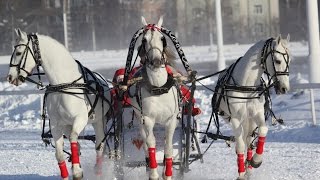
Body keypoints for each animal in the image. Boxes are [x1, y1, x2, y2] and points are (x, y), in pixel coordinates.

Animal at [6, 28, 111, 179]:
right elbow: (60, 154)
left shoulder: (80, 119)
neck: (63, 85)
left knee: (99, 146)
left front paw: (77, 172)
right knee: (79, 145)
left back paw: (97, 171)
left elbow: (73, 138)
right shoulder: (56, 125)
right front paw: (71, 171)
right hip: (68, 125)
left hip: (99, 121)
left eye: (19, 53)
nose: (10, 77)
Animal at [127, 16, 181, 180]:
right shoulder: (148, 119)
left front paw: (167, 174)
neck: (158, 88)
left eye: (162, 38)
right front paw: (154, 174)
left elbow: (168, 147)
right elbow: (151, 144)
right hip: (139, 118)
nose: (156, 61)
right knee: (145, 143)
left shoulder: (171, 120)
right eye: (144, 40)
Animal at [214, 34, 292, 179]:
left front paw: (256, 160)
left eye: (289, 62)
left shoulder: (257, 114)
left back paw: (249, 166)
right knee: (243, 141)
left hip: (249, 121)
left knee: (249, 140)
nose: (284, 88)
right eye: (278, 61)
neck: (246, 85)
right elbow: (240, 145)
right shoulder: (235, 119)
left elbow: (263, 130)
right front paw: (241, 173)